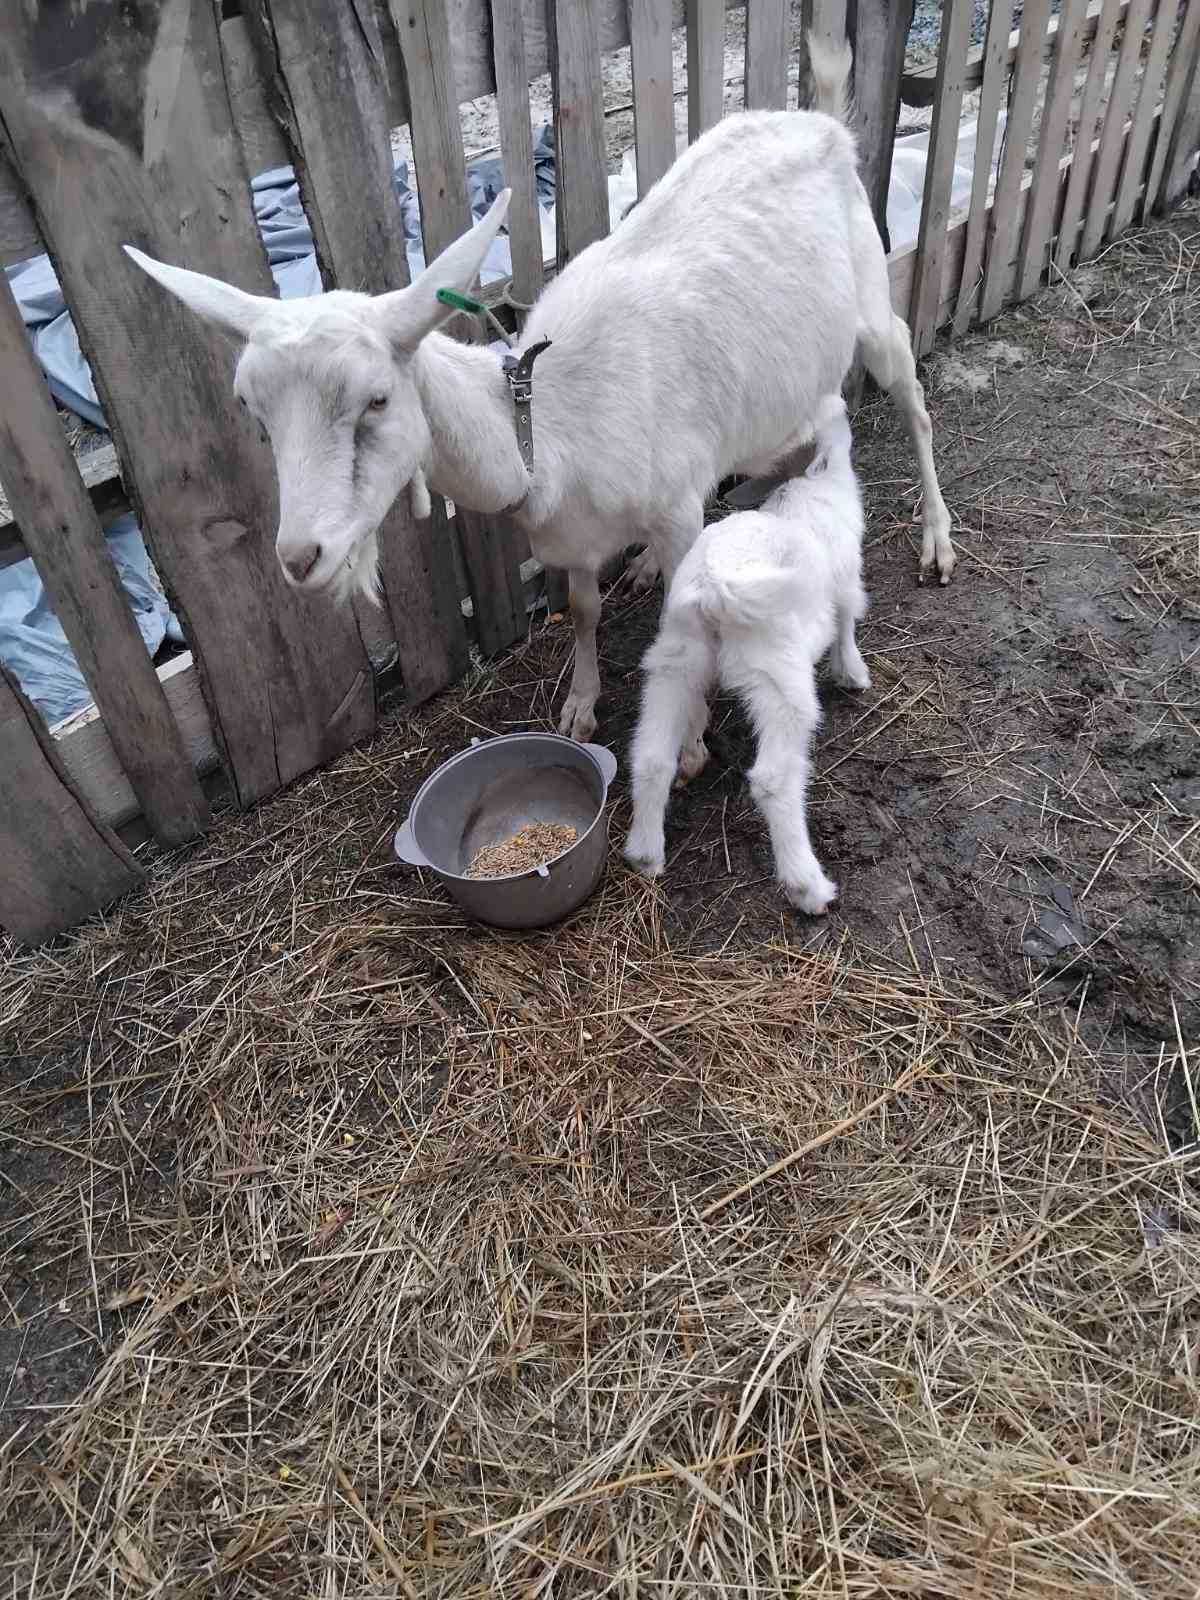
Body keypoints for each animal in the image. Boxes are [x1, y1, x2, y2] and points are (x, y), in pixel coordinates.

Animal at [122, 40, 947, 742]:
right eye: (255, 417)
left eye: (377, 400)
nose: (299, 557)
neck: (545, 429)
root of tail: (820, 119)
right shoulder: (575, 539)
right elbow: (581, 608)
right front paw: (580, 704)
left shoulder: (678, 507)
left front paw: (685, 737)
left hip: (871, 298)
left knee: (911, 394)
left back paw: (937, 538)